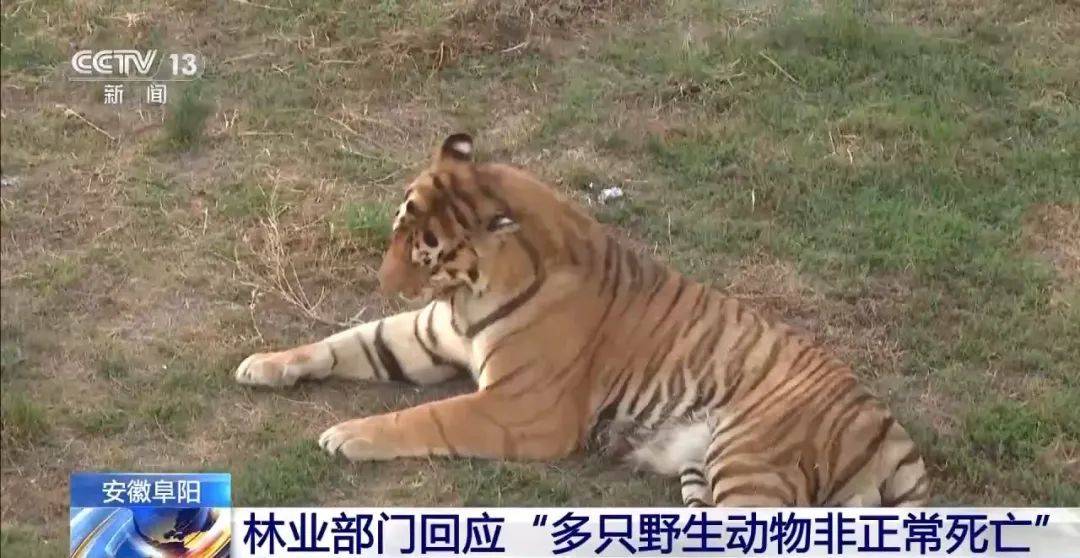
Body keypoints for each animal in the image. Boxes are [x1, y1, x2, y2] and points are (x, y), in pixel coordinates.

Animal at [234, 133, 929, 507]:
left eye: (425, 253)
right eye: (397, 232)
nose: (384, 284)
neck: (469, 295)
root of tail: (889, 428)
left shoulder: (519, 409)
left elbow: (427, 416)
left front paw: (346, 434)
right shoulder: (428, 336)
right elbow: (342, 342)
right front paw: (262, 365)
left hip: (751, 460)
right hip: (710, 469)